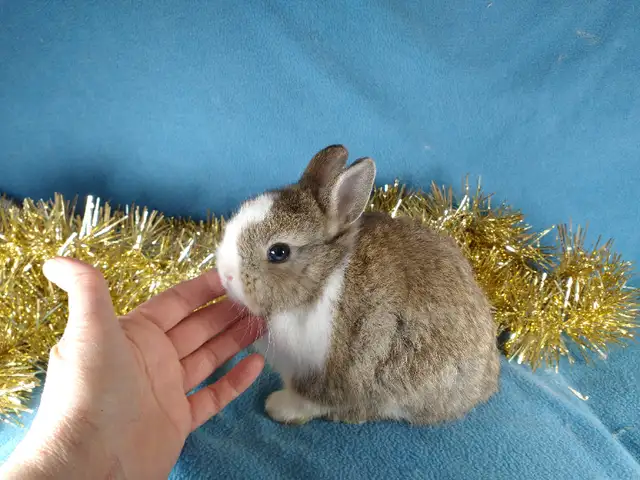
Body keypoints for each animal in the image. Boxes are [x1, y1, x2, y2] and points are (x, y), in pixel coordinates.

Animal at [215, 145, 500, 425]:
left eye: (278, 252)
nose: (225, 275)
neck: (321, 282)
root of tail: (487, 384)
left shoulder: (322, 375)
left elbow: (309, 401)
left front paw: (277, 408)